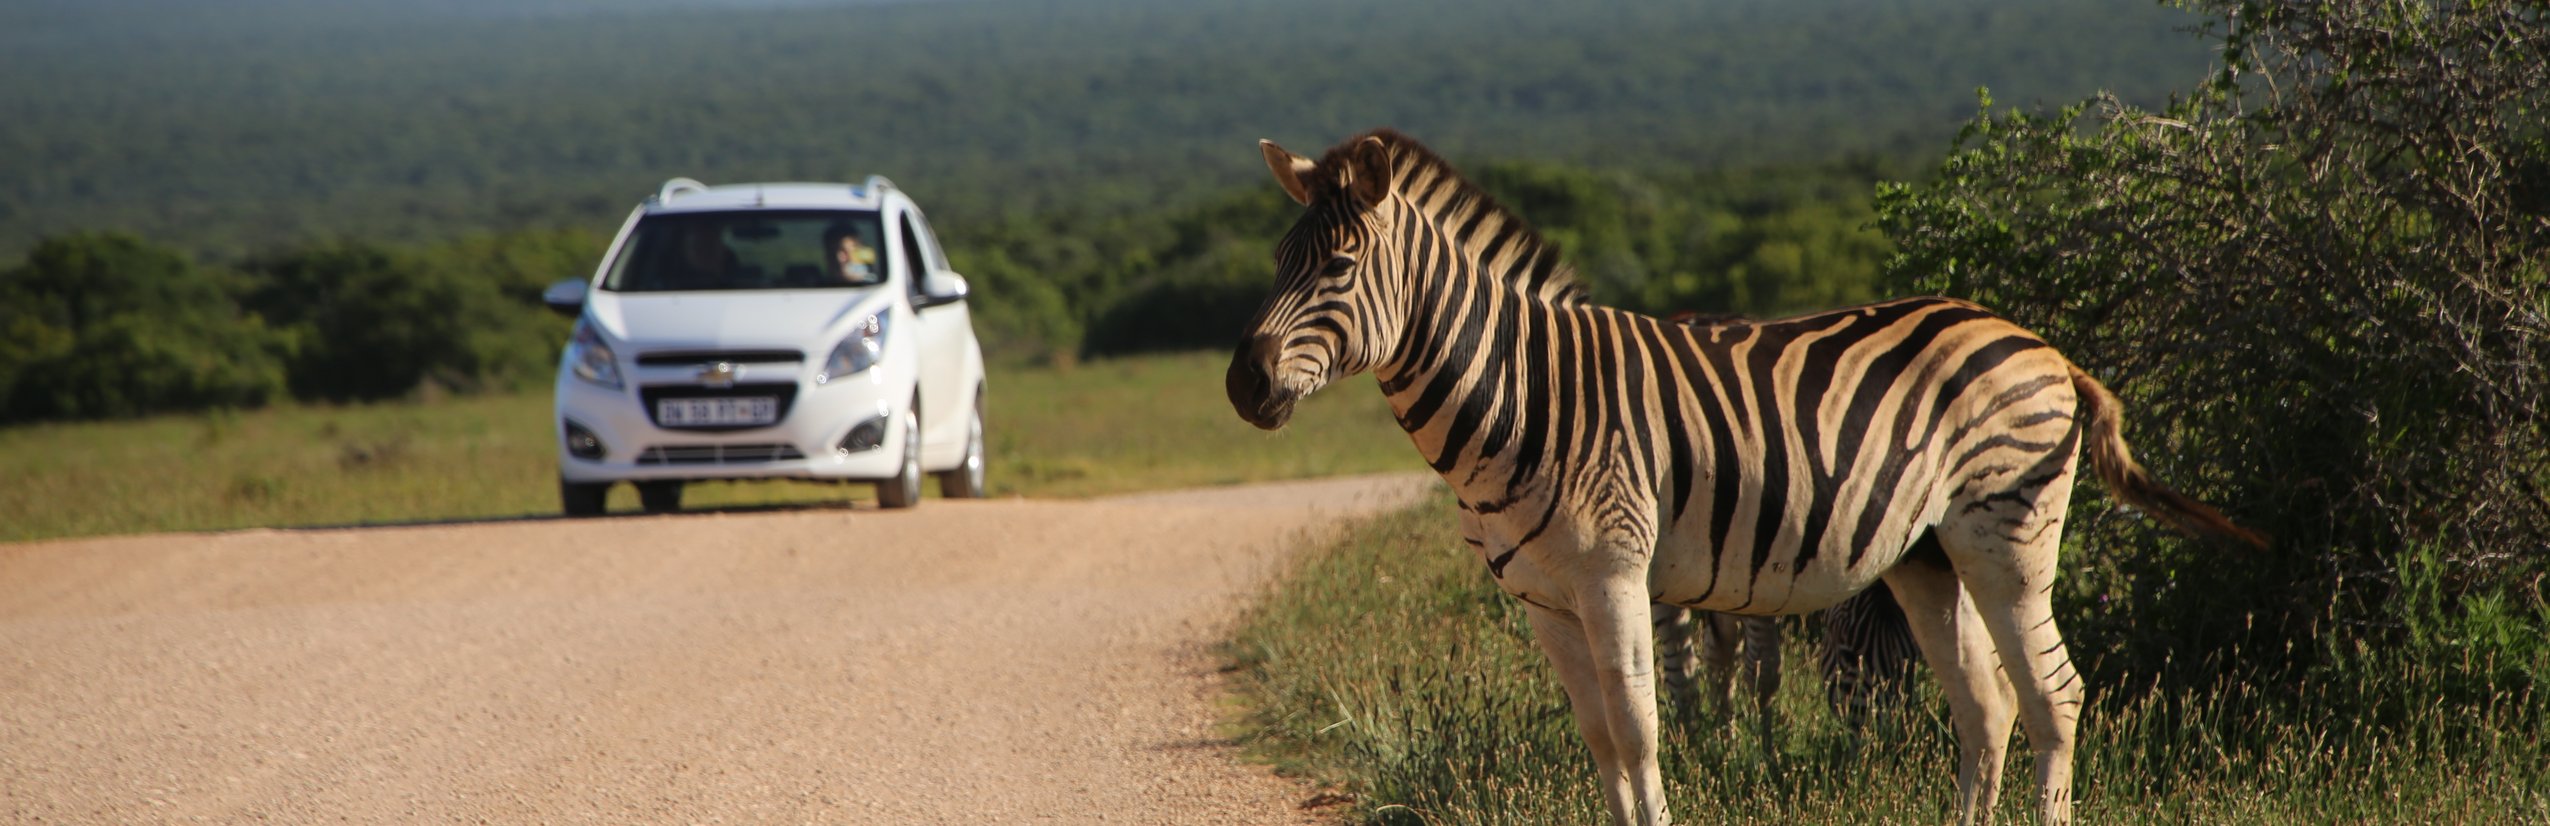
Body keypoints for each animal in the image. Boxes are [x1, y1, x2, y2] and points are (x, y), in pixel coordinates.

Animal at [1224, 128, 2264, 826]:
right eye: (1276, 260)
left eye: (1340, 264)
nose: (1243, 384)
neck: (1522, 393)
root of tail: (2045, 347)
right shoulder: (1542, 600)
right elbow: (1601, 740)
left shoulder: (1614, 574)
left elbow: (1641, 733)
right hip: (1927, 556)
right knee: (1987, 705)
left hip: (2008, 539)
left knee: (2055, 697)